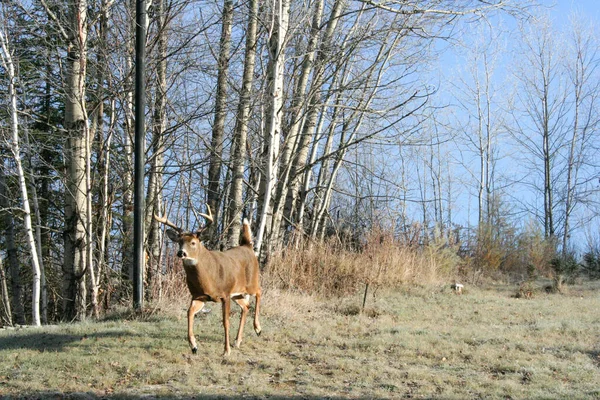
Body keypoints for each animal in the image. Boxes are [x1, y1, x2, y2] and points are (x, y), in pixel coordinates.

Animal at [155, 208, 260, 354]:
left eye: (193, 242)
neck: (208, 280)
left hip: (251, 282)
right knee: (246, 306)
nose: (181, 253)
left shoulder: (225, 294)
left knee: (259, 292)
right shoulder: (199, 296)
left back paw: (258, 328)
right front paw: (194, 346)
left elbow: (225, 321)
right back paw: (237, 341)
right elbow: (189, 313)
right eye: (179, 242)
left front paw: (226, 351)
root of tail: (248, 246)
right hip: (237, 293)